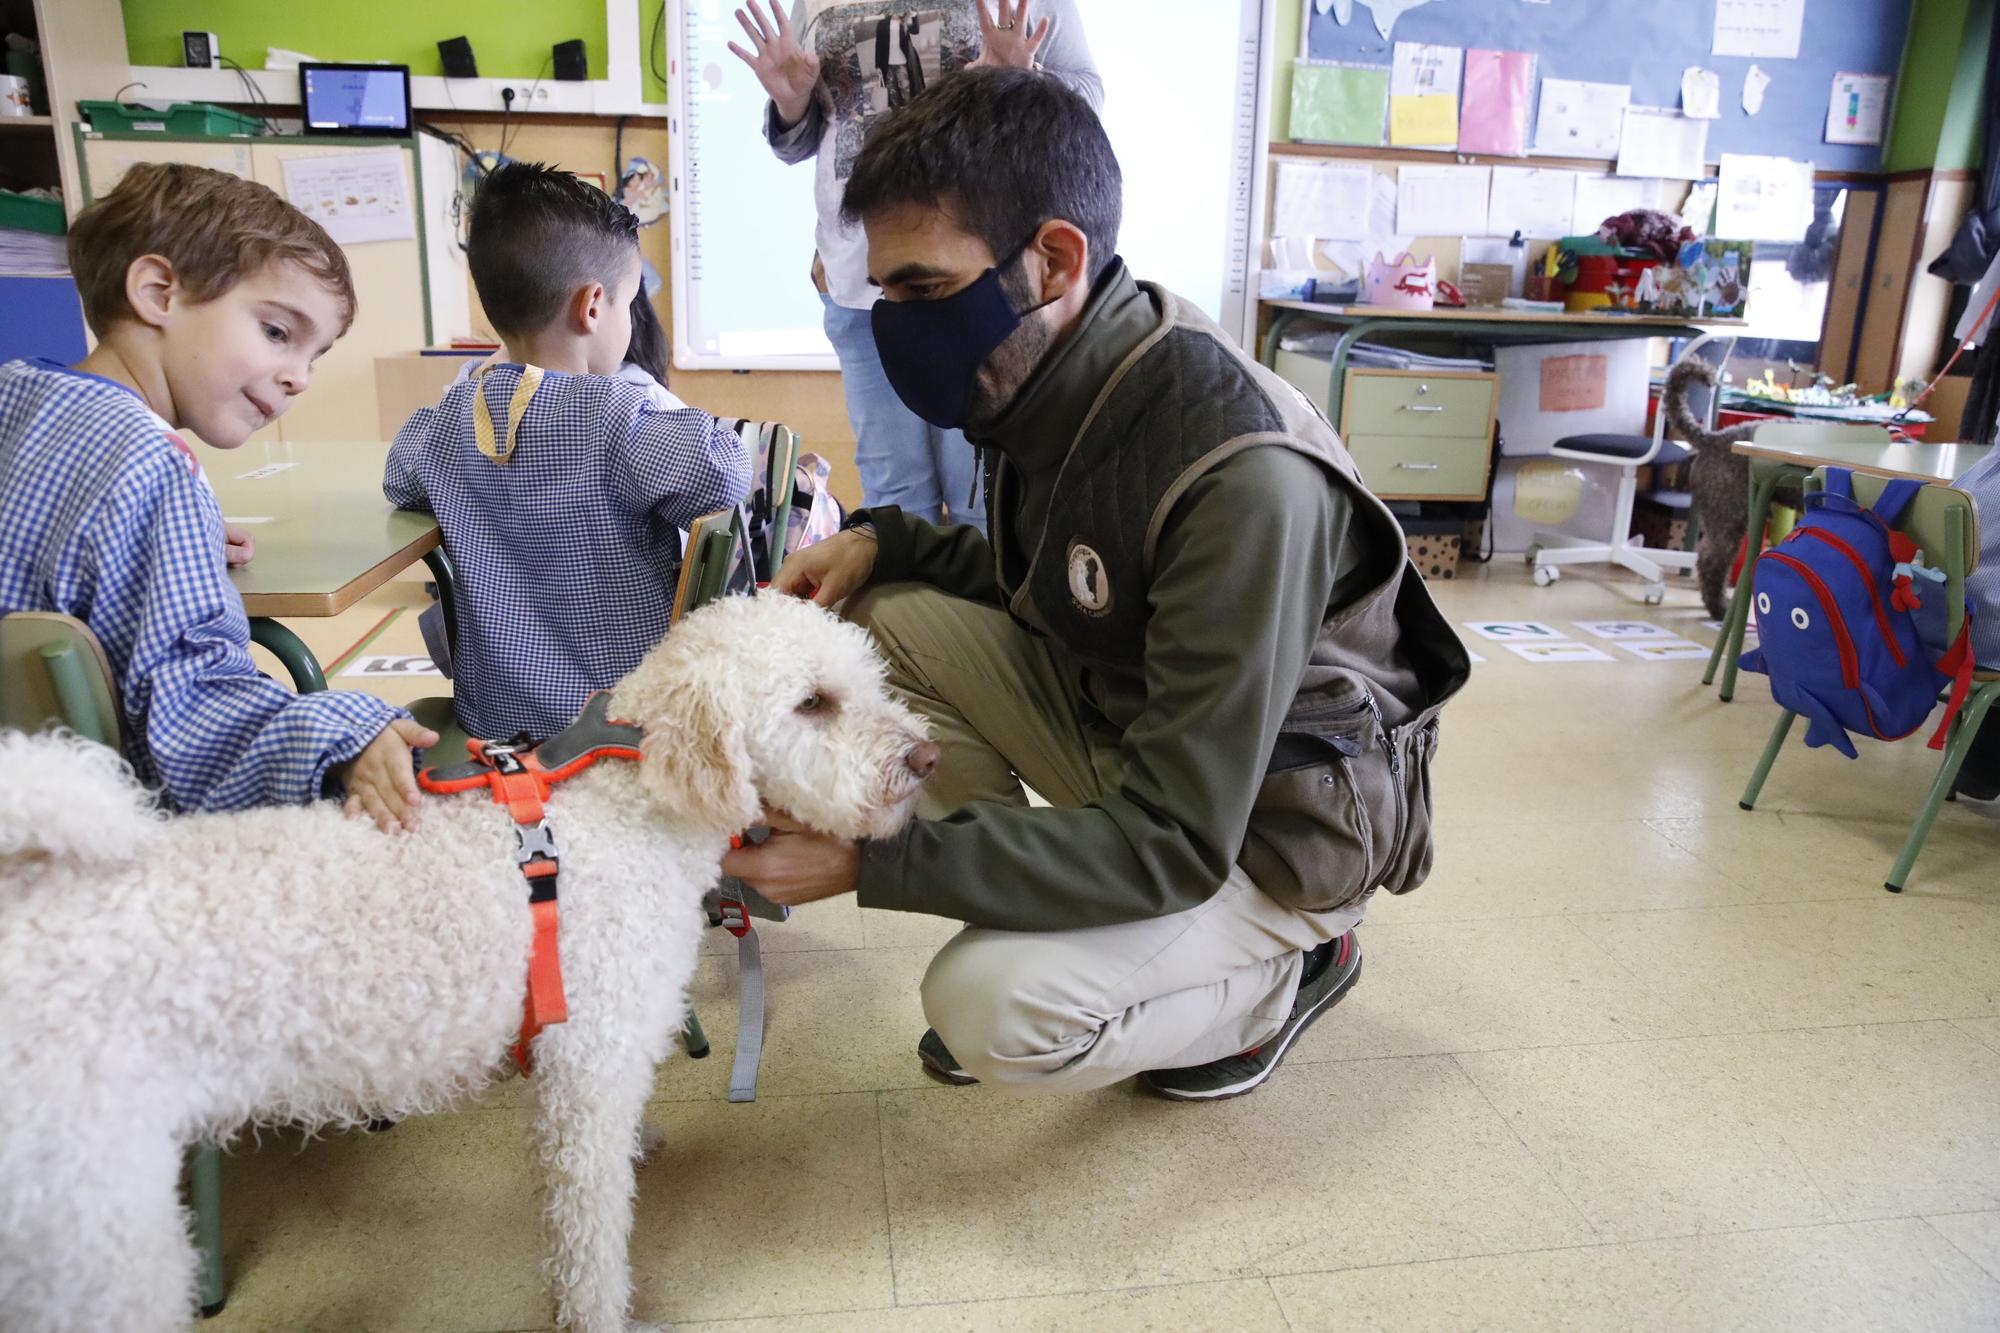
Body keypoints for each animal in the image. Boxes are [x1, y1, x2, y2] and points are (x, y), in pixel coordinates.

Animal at [0, 592, 936, 1328]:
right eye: (813, 702)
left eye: (865, 680)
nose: (925, 758)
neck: (626, 805)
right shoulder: (587, 1073)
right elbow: (590, 1238)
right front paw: (600, 1314)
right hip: (99, 1228)